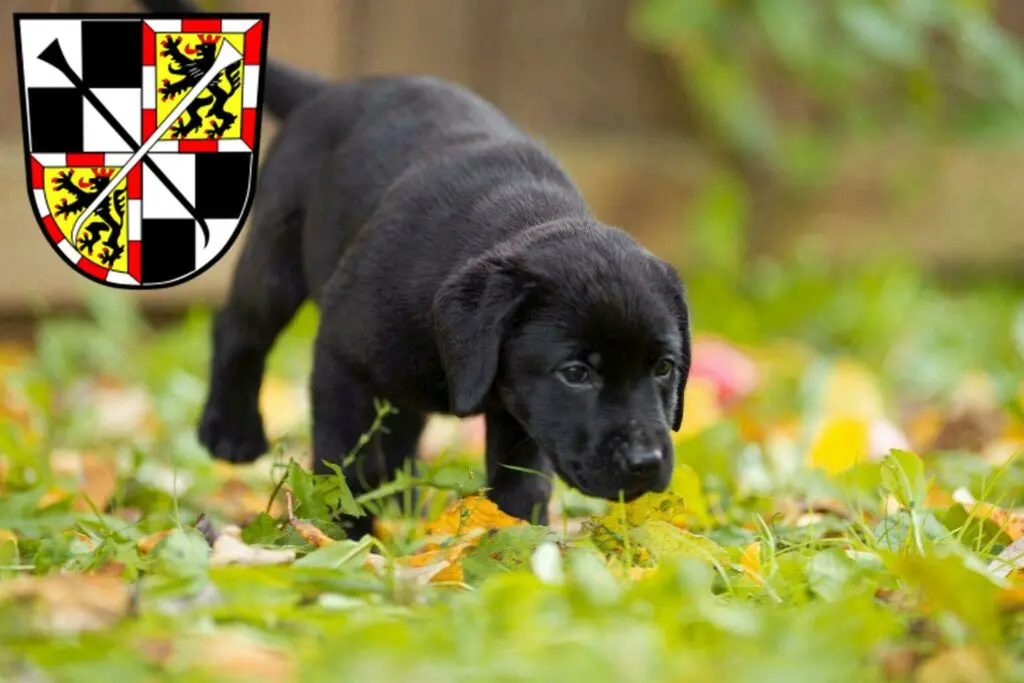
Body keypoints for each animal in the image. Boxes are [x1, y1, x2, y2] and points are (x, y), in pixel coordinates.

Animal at [140, 0, 692, 540]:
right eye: (575, 374)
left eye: (664, 368)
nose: (645, 462)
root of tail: (330, 90)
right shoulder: (342, 360)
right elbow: (349, 463)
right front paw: (345, 538)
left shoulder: (521, 408)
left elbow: (521, 477)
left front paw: (516, 542)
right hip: (277, 254)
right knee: (241, 329)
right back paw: (230, 431)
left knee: (401, 422)